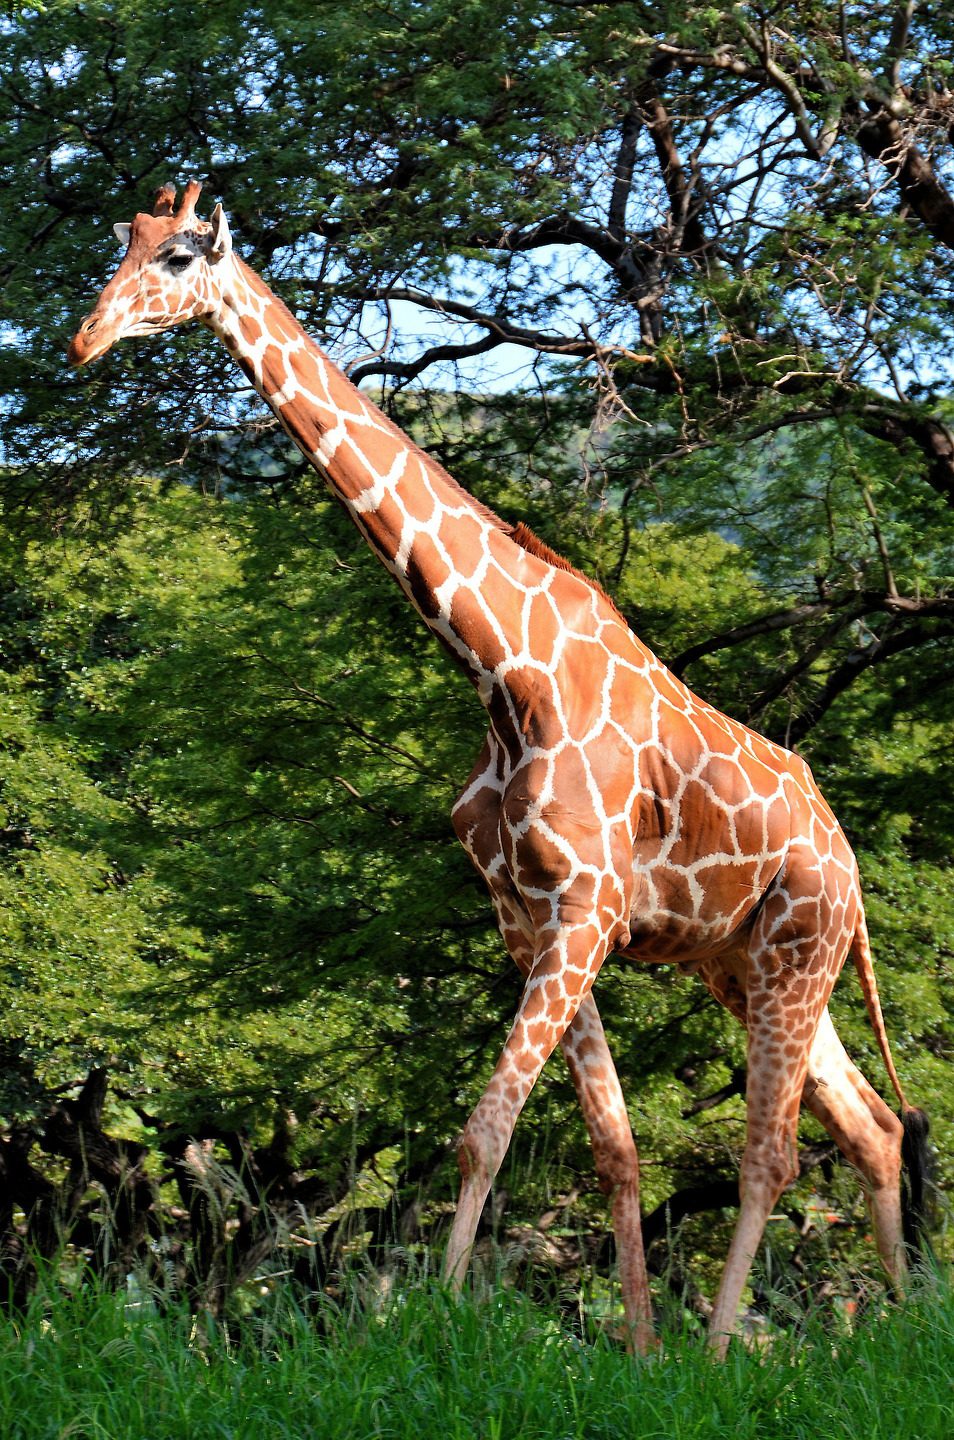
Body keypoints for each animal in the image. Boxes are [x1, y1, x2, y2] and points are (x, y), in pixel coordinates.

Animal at [68, 182, 929, 1355]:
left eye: (182, 255)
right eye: (123, 244)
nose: (83, 338)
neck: (498, 668)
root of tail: (847, 858)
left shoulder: (587, 910)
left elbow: (486, 1129)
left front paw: (425, 1322)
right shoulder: (532, 918)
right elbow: (611, 1148)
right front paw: (637, 1351)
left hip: (800, 947)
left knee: (774, 1151)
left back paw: (726, 1350)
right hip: (749, 962)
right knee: (874, 1127)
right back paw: (900, 1322)